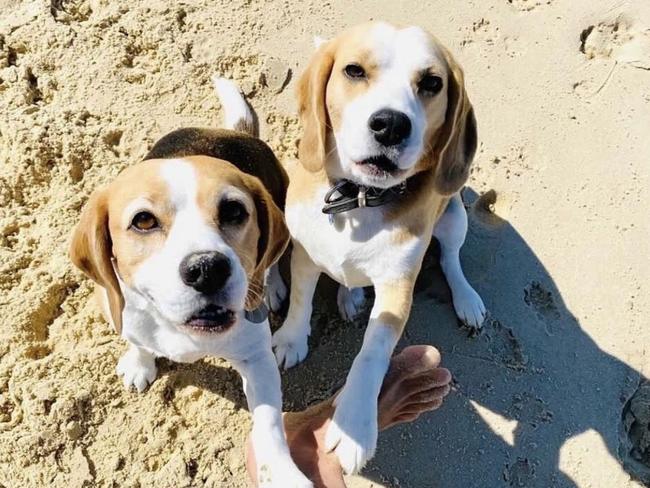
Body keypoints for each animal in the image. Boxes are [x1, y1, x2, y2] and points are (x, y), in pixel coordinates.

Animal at [70, 78, 312, 486]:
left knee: (276, 259)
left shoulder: (257, 357)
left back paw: (273, 286)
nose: (207, 269)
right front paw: (139, 363)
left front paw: (282, 473)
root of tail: (234, 133)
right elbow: (137, 340)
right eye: (143, 220)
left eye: (233, 211)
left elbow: (268, 424)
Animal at [266, 21, 484, 472]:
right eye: (354, 71)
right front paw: (292, 340)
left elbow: (372, 352)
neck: (359, 199)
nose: (390, 125)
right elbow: (299, 301)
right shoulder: (305, 254)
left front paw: (354, 424)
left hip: (454, 217)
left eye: (432, 83)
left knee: (451, 259)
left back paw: (466, 299)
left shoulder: (397, 286)